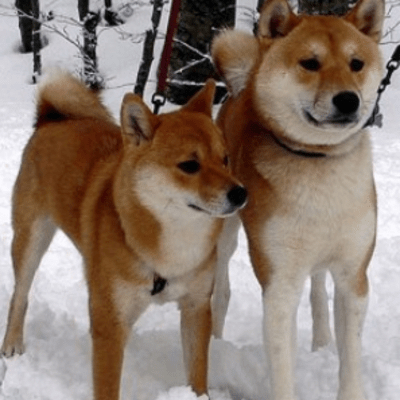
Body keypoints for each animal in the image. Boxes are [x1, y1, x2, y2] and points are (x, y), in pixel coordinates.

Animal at [0, 72, 247, 400]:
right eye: (189, 165)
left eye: (225, 159)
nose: (241, 193)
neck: (172, 246)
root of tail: (50, 120)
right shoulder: (110, 324)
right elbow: (107, 386)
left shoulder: (196, 308)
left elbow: (197, 375)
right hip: (31, 240)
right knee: (20, 296)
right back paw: (12, 344)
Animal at [212, 0, 384, 398]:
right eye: (310, 62)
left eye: (356, 63)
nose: (348, 99)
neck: (318, 160)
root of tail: (240, 89)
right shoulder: (279, 283)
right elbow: (282, 365)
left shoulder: (353, 276)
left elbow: (350, 358)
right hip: (225, 233)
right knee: (220, 293)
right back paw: (214, 344)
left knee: (318, 291)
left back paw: (321, 340)